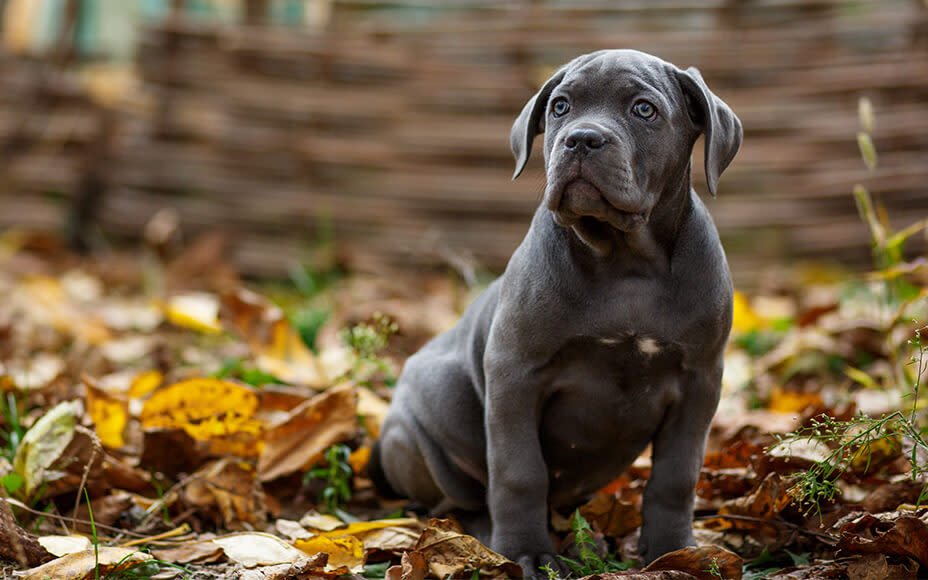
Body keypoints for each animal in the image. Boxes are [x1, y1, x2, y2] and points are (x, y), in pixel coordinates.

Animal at [368, 49, 740, 576]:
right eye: (561, 106)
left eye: (644, 110)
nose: (581, 139)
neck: (626, 262)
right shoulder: (515, 373)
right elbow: (519, 471)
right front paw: (525, 552)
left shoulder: (700, 381)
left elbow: (676, 474)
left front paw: (676, 551)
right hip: (426, 423)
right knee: (454, 501)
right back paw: (479, 538)